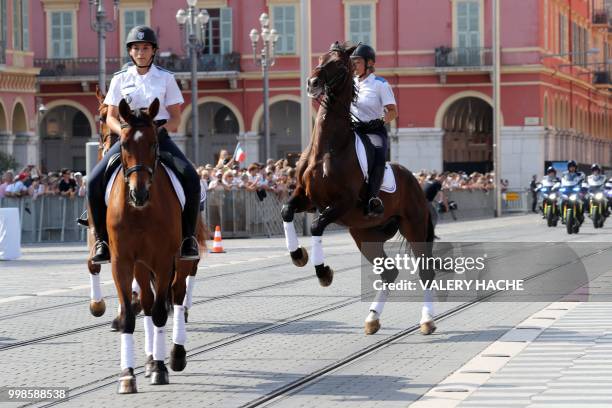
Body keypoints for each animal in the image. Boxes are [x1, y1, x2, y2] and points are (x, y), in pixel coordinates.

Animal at [105, 98, 206, 392]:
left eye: (153, 143)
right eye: (124, 144)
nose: (139, 192)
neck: (140, 211)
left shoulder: (163, 261)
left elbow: (162, 312)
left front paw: (161, 368)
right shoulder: (122, 262)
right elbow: (130, 315)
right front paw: (128, 375)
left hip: (182, 261)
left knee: (178, 297)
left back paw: (175, 355)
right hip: (141, 265)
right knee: (148, 303)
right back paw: (149, 360)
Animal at [282, 40, 436, 334]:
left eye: (339, 65)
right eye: (320, 58)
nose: (312, 83)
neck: (327, 148)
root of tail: (415, 181)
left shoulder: (340, 203)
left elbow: (316, 226)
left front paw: (323, 272)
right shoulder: (306, 197)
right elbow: (286, 210)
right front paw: (298, 255)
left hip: (413, 226)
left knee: (426, 271)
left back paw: (427, 321)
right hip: (365, 235)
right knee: (389, 273)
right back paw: (372, 318)